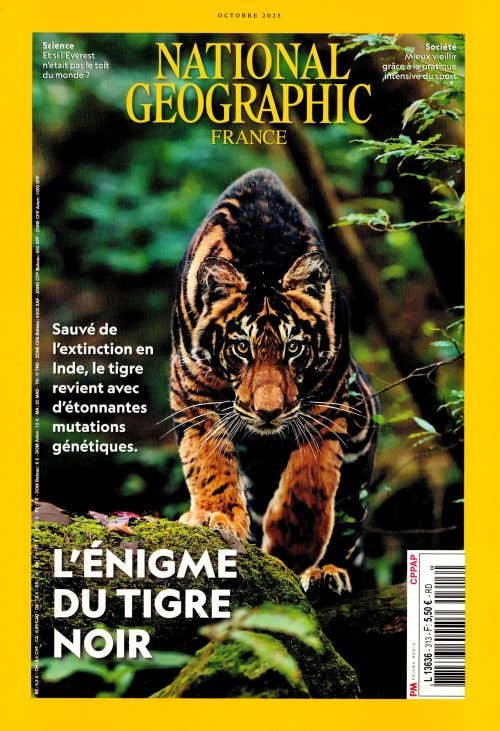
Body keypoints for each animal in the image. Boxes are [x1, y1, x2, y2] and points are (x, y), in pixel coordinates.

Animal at [169, 168, 379, 594]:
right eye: (241, 348)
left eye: (293, 348)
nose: (268, 413)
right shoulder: (193, 391)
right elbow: (208, 461)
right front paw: (215, 517)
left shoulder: (328, 400)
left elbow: (311, 478)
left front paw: (296, 546)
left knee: (347, 520)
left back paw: (326, 571)